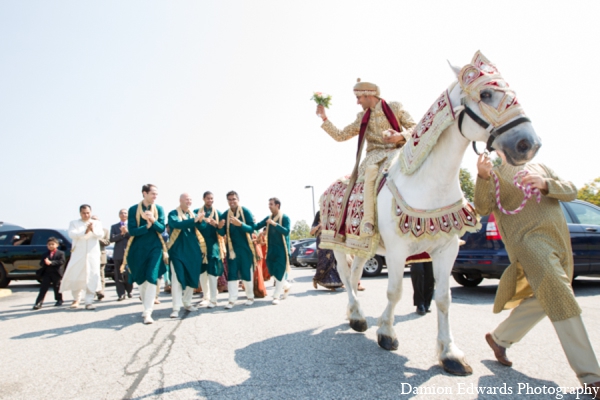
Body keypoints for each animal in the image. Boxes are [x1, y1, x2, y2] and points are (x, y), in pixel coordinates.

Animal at [330, 51, 540, 376]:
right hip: (339, 244)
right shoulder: (397, 251)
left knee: (353, 276)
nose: (528, 144)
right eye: (486, 94)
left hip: (365, 247)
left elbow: (443, 298)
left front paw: (450, 354)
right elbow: (395, 291)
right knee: (343, 274)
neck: (429, 182)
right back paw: (356, 316)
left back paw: (357, 317)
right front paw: (386, 334)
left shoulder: (447, 249)